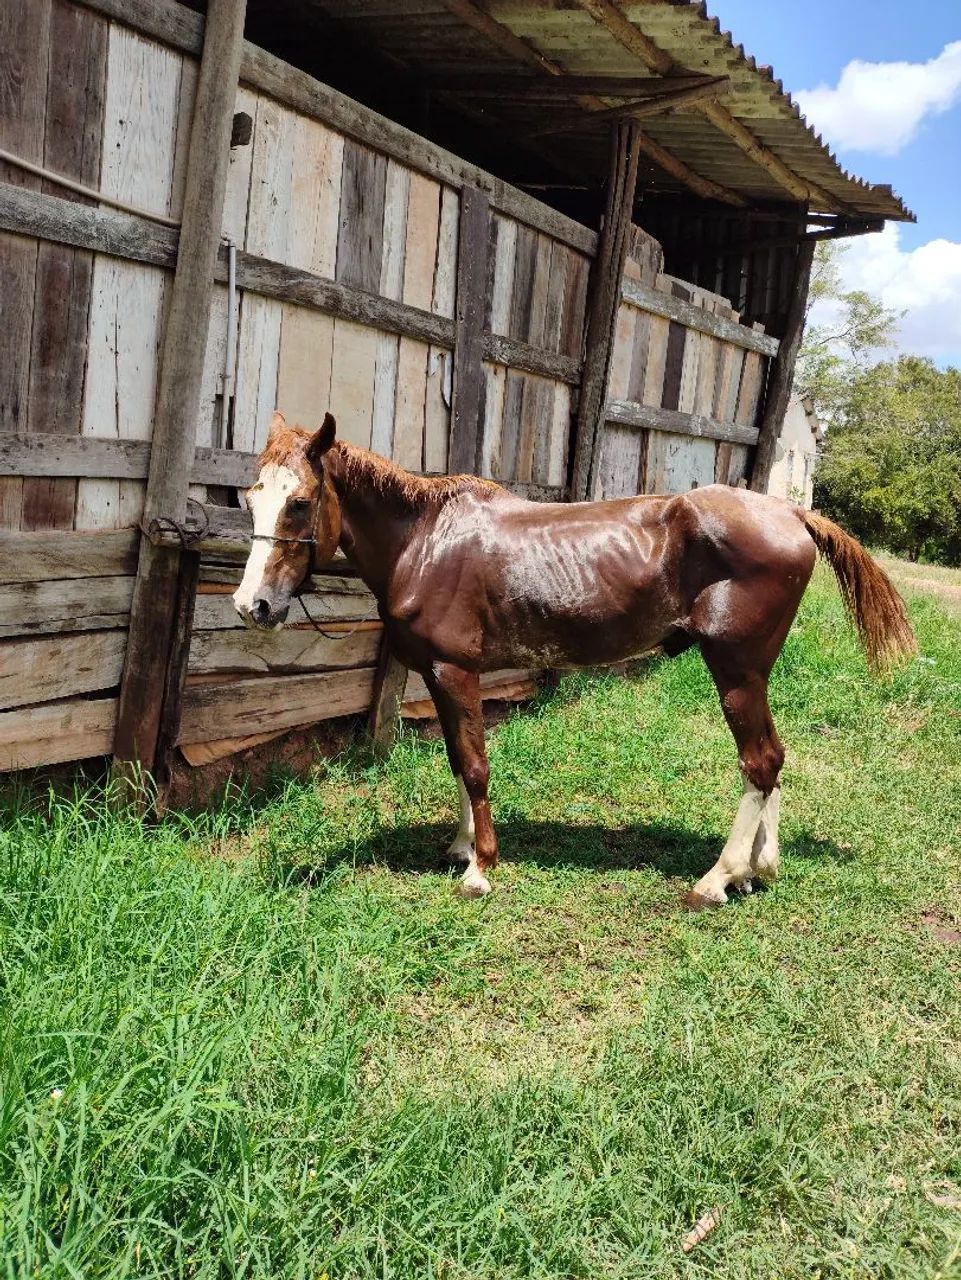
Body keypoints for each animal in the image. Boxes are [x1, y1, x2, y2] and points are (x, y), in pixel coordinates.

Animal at [233, 411, 916, 907]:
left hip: (737, 671)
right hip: (753, 674)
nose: (252, 604)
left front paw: (480, 868)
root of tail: (790, 511)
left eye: (299, 502)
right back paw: (758, 869)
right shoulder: (440, 675)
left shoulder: (457, 672)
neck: (427, 540)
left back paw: (717, 879)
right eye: (250, 498)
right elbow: (457, 760)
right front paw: (460, 846)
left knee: (760, 761)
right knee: (772, 762)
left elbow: (475, 766)